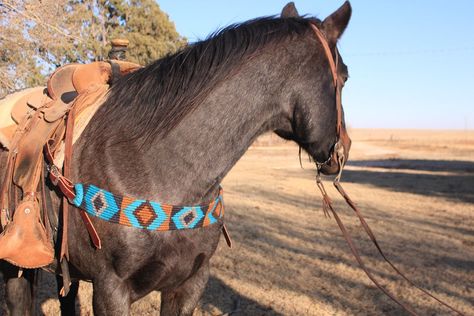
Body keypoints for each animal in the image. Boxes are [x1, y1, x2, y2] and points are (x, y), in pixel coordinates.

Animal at [0, 1, 352, 314]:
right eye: (345, 76)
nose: (343, 149)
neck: (156, 166)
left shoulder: (190, 284)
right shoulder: (111, 290)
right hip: (14, 267)